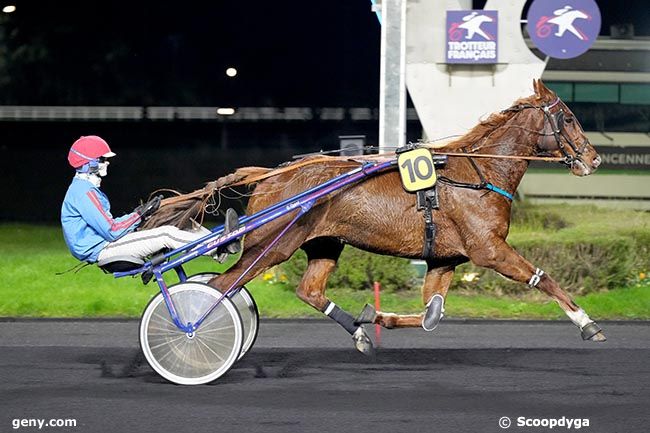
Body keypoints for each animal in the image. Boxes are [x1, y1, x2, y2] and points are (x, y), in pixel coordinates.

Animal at [147, 80, 604, 354]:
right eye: (568, 117)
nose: (594, 159)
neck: (478, 174)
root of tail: (268, 175)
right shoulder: (489, 250)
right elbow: (543, 278)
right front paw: (587, 323)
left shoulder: (445, 258)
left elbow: (431, 316)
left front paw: (375, 315)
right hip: (271, 247)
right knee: (218, 289)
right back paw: (189, 337)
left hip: (323, 244)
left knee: (307, 290)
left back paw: (359, 331)